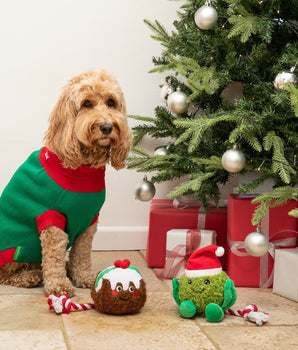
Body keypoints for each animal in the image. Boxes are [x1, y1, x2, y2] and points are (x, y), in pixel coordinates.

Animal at [0, 69, 132, 296]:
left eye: (111, 102)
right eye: (86, 103)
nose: (106, 126)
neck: (83, 168)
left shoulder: (89, 221)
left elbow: (81, 253)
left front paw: (84, 277)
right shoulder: (51, 219)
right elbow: (54, 257)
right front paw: (59, 285)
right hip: (13, 251)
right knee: (5, 274)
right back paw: (30, 276)